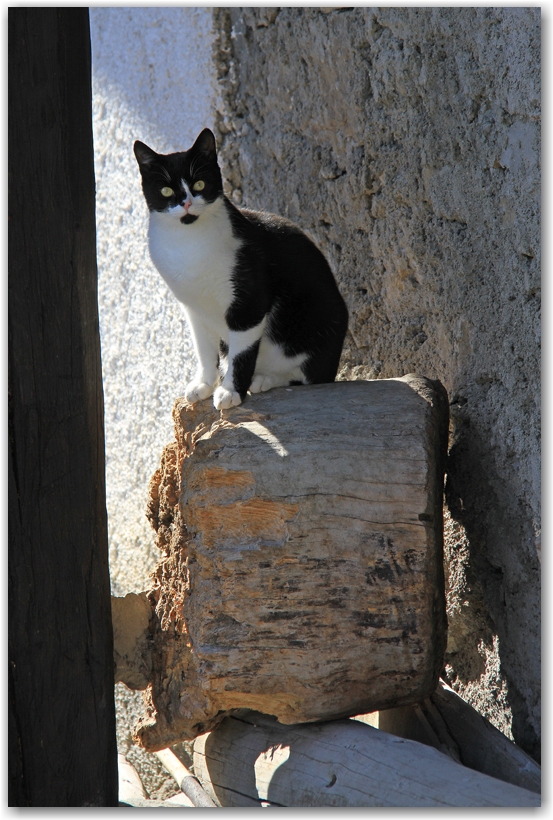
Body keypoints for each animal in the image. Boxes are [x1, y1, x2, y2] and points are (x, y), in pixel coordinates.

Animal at [134, 128, 348, 410]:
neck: (188, 244)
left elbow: (242, 353)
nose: (186, 203)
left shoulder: (248, 301)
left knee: (310, 377)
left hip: (322, 321)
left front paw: (230, 391)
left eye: (199, 184)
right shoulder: (193, 309)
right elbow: (203, 349)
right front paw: (204, 384)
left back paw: (264, 379)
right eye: (166, 190)